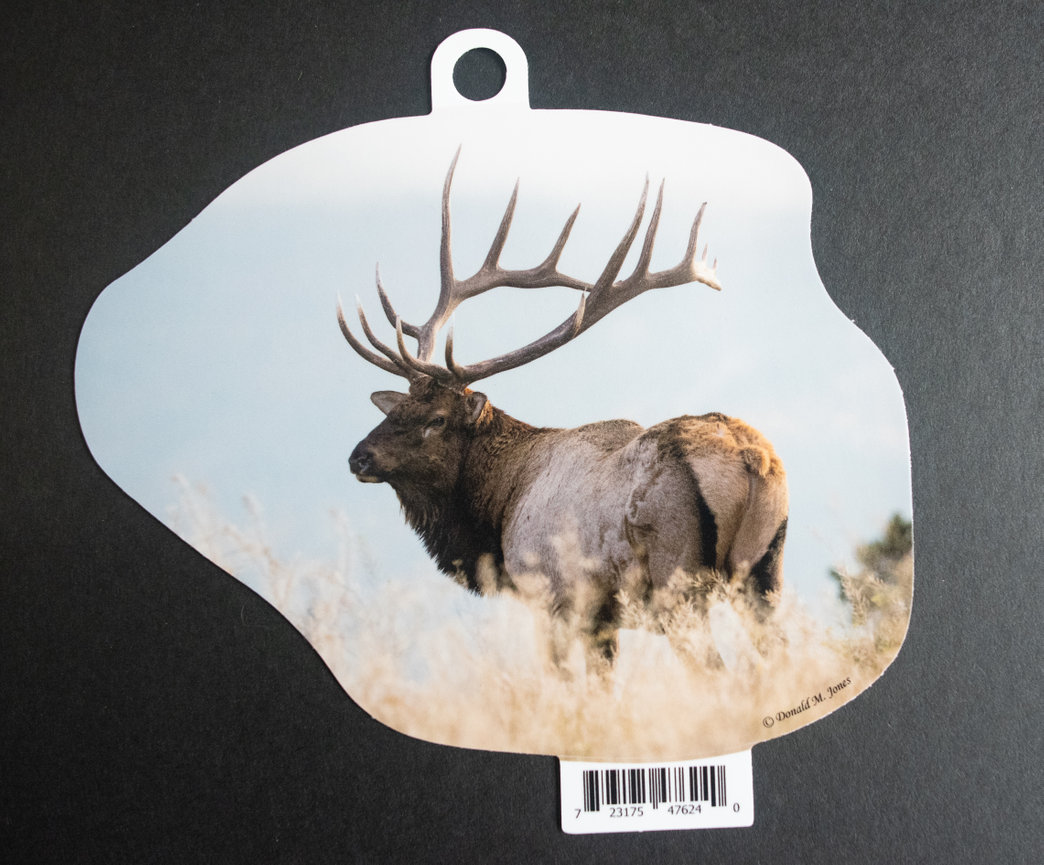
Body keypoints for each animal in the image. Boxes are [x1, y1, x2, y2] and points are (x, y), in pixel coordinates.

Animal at [338, 150, 788, 673]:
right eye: (399, 408)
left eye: (437, 420)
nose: (359, 456)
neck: (499, 507)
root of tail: (749, 460)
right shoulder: (605, 619)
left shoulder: (554, 597)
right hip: (764, 575)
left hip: (676, 579)